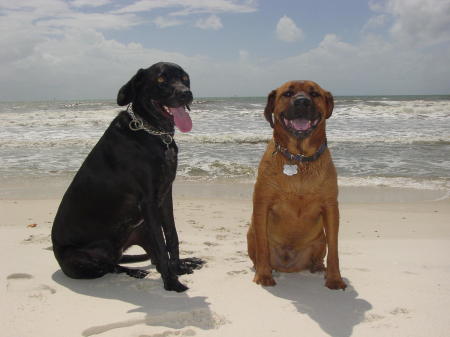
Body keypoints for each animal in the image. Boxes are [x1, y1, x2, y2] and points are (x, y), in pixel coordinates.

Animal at [50, 63, 202, 292]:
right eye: (161, 80)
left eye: (185, 78)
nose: (186, 94)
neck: (153, 132)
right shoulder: (148, 201)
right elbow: (162, 245)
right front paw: (172, 282)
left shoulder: (165, 196)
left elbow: (171, 236)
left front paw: (178, 268)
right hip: (78, 258)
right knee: (110, 266)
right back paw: (134, 271)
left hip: (139, 229)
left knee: (147, 258)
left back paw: (183, 263)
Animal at [248, 79, 346, 288]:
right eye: (287, 93)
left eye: (315, 93)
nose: (302, 102)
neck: (300, 160)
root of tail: (289, 267)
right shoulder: (262, 203)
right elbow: (262, 246)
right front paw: (264, 275)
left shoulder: (331, 206)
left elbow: (334, 248)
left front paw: (334, 278)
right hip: (250, 233)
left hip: (319, 240)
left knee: (320, 255)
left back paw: (319, 267)